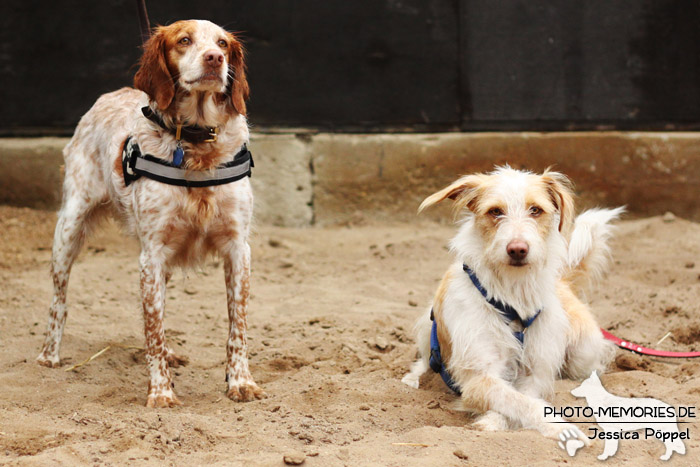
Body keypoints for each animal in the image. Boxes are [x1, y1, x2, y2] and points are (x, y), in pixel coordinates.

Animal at [34, 21, 262, 410]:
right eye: (184, 40)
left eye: (222, 44)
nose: (214, 59)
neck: (195, 143)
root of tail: (111, 94)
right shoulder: (152, 253)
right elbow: (153, 327)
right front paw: (161, 391)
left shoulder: (237, 248)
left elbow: (239, 325)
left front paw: (240, 382)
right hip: (69, 227)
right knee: (58, 300)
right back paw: (50, 354)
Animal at [402, 167, 620, 442]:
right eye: (495, 211)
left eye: (535, 210)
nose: (517, 249)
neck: (512, 296)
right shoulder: (479, 375)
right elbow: (516, 400)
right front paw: (561, 428)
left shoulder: (535, 372)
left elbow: (522, 399)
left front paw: (495, 421)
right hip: (427, 327)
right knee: (425, 359)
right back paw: (413, 378)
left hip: (583, 351)